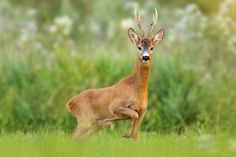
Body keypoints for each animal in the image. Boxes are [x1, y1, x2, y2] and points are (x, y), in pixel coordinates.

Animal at [65, 8, 163, 141]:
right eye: (139, 47)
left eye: (152, 47)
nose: (145, 57)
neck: (137, 90)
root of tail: (69, 103)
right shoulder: (116, 105)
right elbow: (134, 115)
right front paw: (126, 134)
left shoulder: (143, 111)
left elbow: (136, 134)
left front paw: (129, 134)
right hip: (85, 119)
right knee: (73, 137)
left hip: (95, 124)